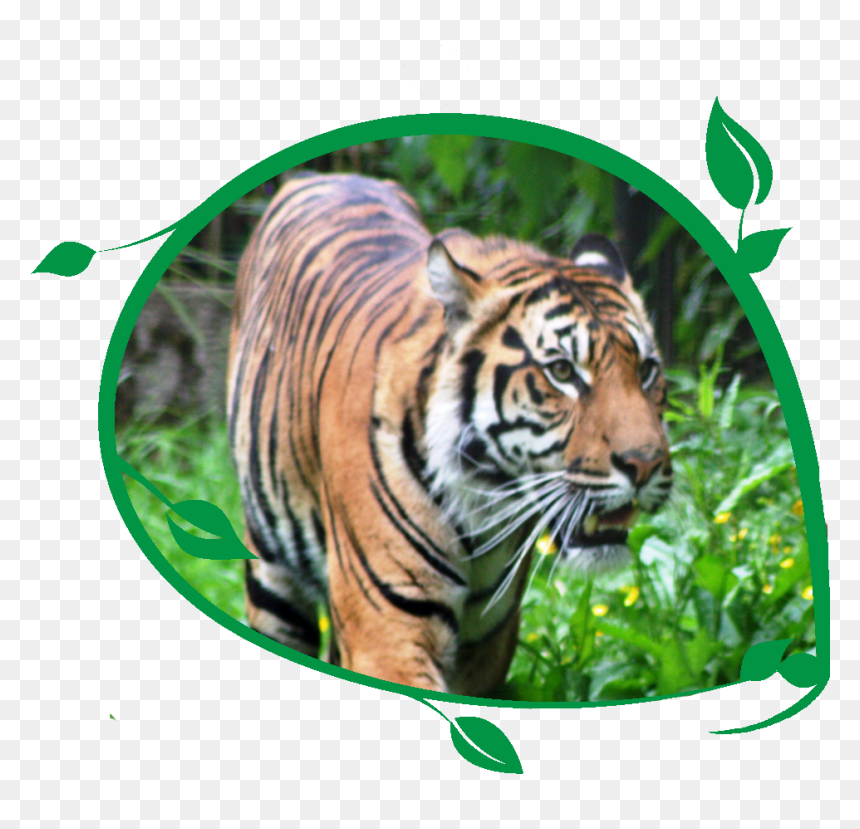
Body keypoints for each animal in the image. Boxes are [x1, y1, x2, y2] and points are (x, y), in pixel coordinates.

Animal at [226, 171, 673, 696]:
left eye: (646, 370)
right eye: (562, 371)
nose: (644, 464)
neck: (486, 505)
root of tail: (323, 174)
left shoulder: (488, 644)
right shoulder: (388, 631)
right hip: (270, 568)